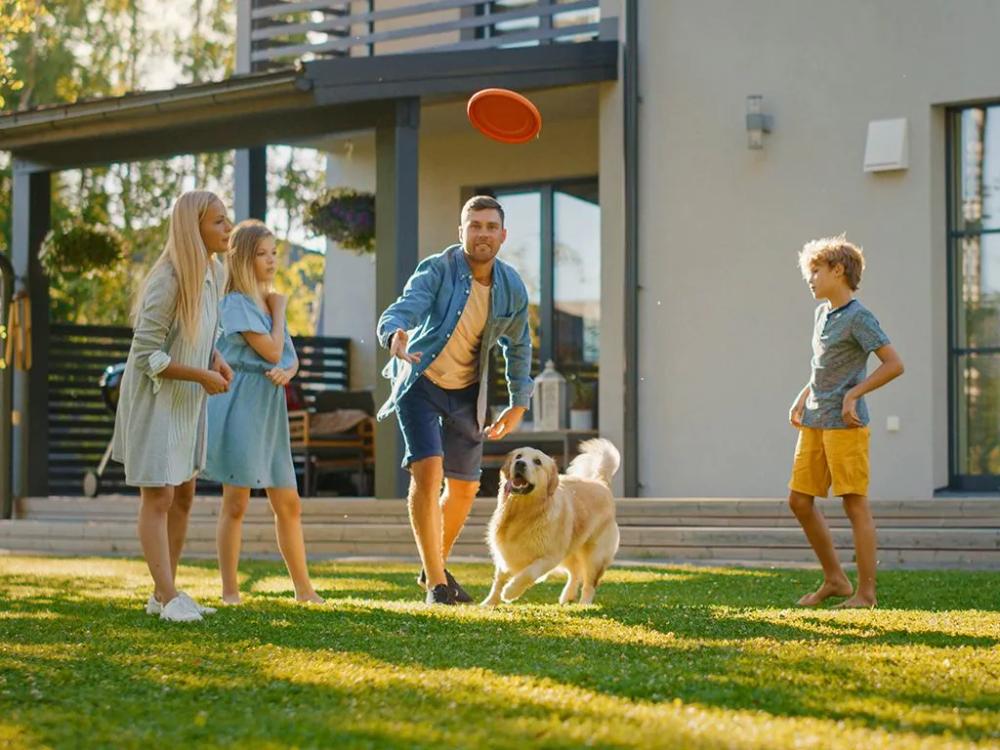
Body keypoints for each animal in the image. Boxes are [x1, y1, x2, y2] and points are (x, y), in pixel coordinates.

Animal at [482, 438, 620, 608]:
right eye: (518, 456)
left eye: (537, 461)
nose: (520, 463)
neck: (523, 512)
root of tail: (601, 482)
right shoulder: (505, 552)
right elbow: (498, 580)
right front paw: (489, 603)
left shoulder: (549, 557)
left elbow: (529, 573)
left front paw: (510, 592)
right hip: (570, 550)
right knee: (575, 573)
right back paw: (567, 596)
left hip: (594, 555)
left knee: (589, 583)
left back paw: (584, 604)